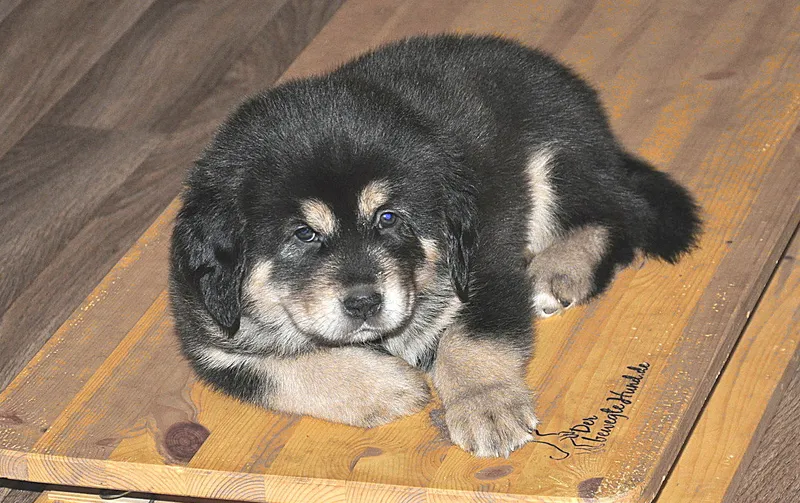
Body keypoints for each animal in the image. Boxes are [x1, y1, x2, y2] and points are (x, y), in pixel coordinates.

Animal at [169, 34, 700, 458]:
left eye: (388, 218)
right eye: (304, 233)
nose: (364, 303)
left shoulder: (485, 268)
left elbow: (467, 342)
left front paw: (486, 408)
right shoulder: (212, 341)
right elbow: (286, 369)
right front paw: (385, 387)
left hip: (557, 160)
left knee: (618, 215)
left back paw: (558, 270)